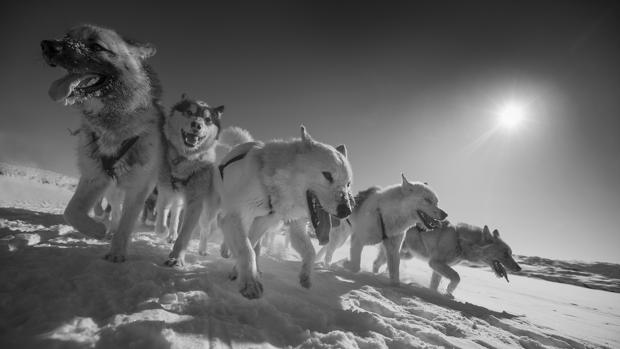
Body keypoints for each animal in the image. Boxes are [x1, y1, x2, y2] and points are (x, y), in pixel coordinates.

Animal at [41, 25, 167, 260]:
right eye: (67, 37)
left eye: (97, 46)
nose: (48, 45)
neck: (113, 126)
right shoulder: (95, 176)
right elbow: (71, 211)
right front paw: (98, 230)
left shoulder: (138, 188)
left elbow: (127, 224)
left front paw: (116, 253)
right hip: (113, 189)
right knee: (115, 210)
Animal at [217, 126, 354, 298]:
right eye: (327, 175)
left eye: (348, 184)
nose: (346, 211)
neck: (268, 180)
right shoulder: (235, 216)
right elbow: (246, 250)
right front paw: (250, 283)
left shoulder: (286, 224)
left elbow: (310, 252)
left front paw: (306, 276)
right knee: (224, 226)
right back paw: (226, 251)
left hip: (259, 223)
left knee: (254, 244)